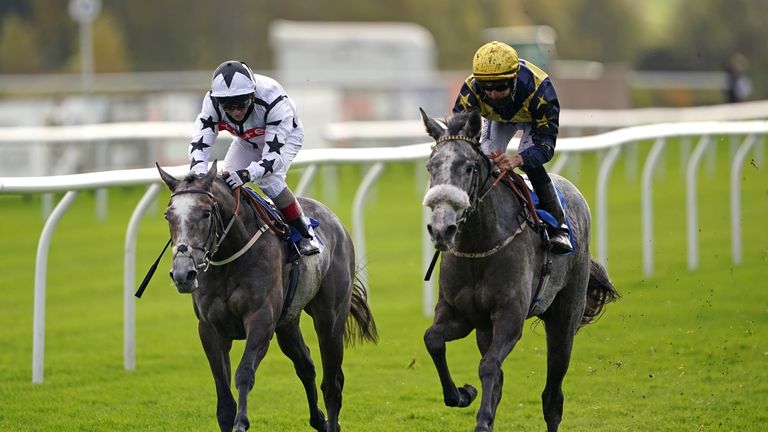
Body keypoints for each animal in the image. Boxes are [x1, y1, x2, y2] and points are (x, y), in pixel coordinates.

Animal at [157, 162, 378, 432]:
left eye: (206, 213)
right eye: (168, 215)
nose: (182, 274)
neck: (229, 258)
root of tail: (334, 221)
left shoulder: (261, 320)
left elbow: (244, 373)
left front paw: (242, 423)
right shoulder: (210, 329)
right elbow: (224, 397)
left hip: (330, 319)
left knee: (332, 383)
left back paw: (331, 422)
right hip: (287, 322)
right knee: (305, 365)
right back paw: (318, 419)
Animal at [416, 109, 620, 432]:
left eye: (470, 167)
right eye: (430, 166)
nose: (441, 229)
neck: (479, 247)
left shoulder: (510, 316)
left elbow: (488, 366)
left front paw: (482, 420)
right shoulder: (460, 314)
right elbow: (433, 340)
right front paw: (463, 393)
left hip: (564, 320)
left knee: (553, 396)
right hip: (485, 329)